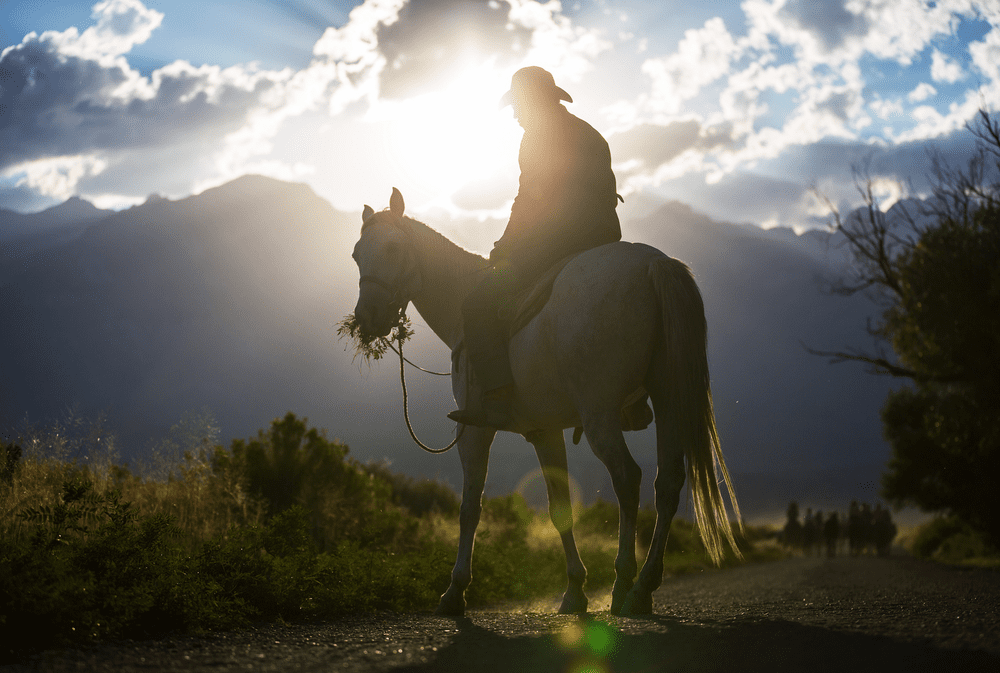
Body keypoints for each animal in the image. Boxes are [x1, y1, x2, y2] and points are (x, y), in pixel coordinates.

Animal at [352, 188, 744, 616]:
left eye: (392, 248)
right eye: (356, 255)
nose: (366, 318)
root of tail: (654, 263)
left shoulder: (473, 430)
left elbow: (470, 508)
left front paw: (455, 591)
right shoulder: (545, 431)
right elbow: (560, 509)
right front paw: (574, 590)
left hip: (600, 414)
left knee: (628, 478)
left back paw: (624, 582)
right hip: (668, 397)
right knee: (668, 482)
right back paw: (643, 586)